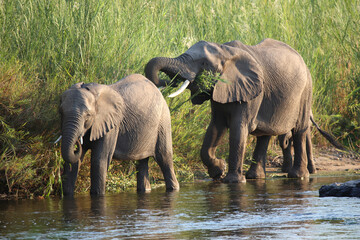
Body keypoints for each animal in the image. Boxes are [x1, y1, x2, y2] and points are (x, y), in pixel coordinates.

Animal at [144, 39, 316, 182]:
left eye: (204, 63)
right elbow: (216, 127)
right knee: (264, 135)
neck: (225, 51)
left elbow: (238, 129)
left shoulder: (250, 92)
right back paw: (255, 177)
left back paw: (298, 176)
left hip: (306, 91)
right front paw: (218, 170)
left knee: (299, 131)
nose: (168, 82)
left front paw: (233, 181)